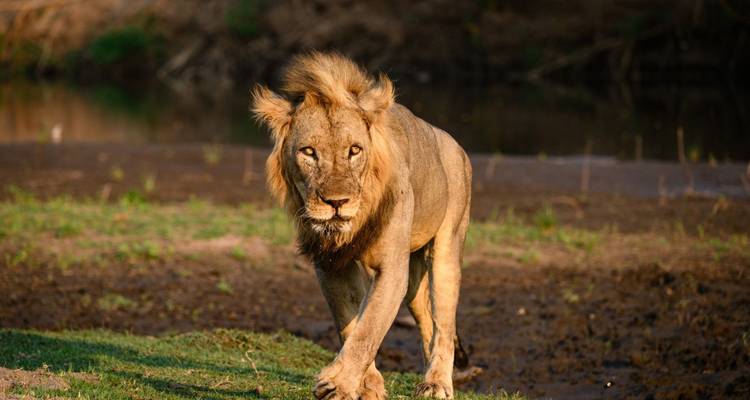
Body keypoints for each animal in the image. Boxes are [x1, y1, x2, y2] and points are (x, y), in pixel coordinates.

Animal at [251, 52, 472, 400]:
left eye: (354, 150)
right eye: (309, 152)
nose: (336, 202)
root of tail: (452, 142)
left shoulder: (391, 268)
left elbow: (369, 328)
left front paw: (337, 384)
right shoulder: (331, 264)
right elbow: (351, 322)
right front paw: (368, 384)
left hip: (447, 249)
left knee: (445, 324)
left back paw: (437, 383)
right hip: (413, 278)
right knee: (426, 318)